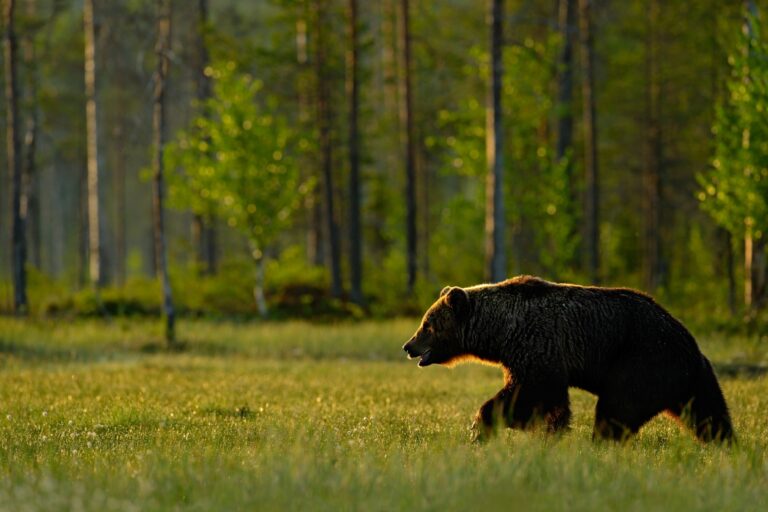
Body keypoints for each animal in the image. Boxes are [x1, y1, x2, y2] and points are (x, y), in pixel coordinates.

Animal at [402, 276, 734, 443]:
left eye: (427, 324)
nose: (408, 346)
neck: (500, 331)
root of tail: (688, 342)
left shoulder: (537, 346)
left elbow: (530, 393)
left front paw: (483, 425)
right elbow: (550, 401)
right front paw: (552, 429)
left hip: (642, 360)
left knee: (617, 408)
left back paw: (601, 441)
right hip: (690, 378)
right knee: (709, 412)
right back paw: (725, 444)